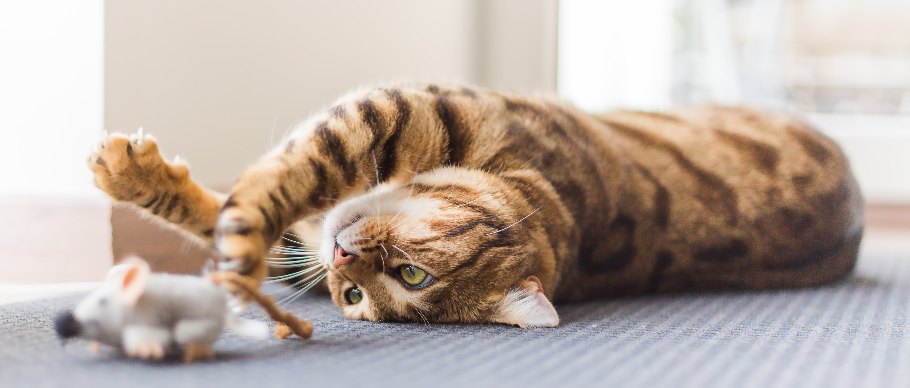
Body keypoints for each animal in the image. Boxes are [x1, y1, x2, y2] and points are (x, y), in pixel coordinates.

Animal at [89, 84, 864, 328]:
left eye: (402, 281)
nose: (343, 259)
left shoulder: (393, 111)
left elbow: (268, 191)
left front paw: (237, 247)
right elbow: (254, 191)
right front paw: (133, 174)